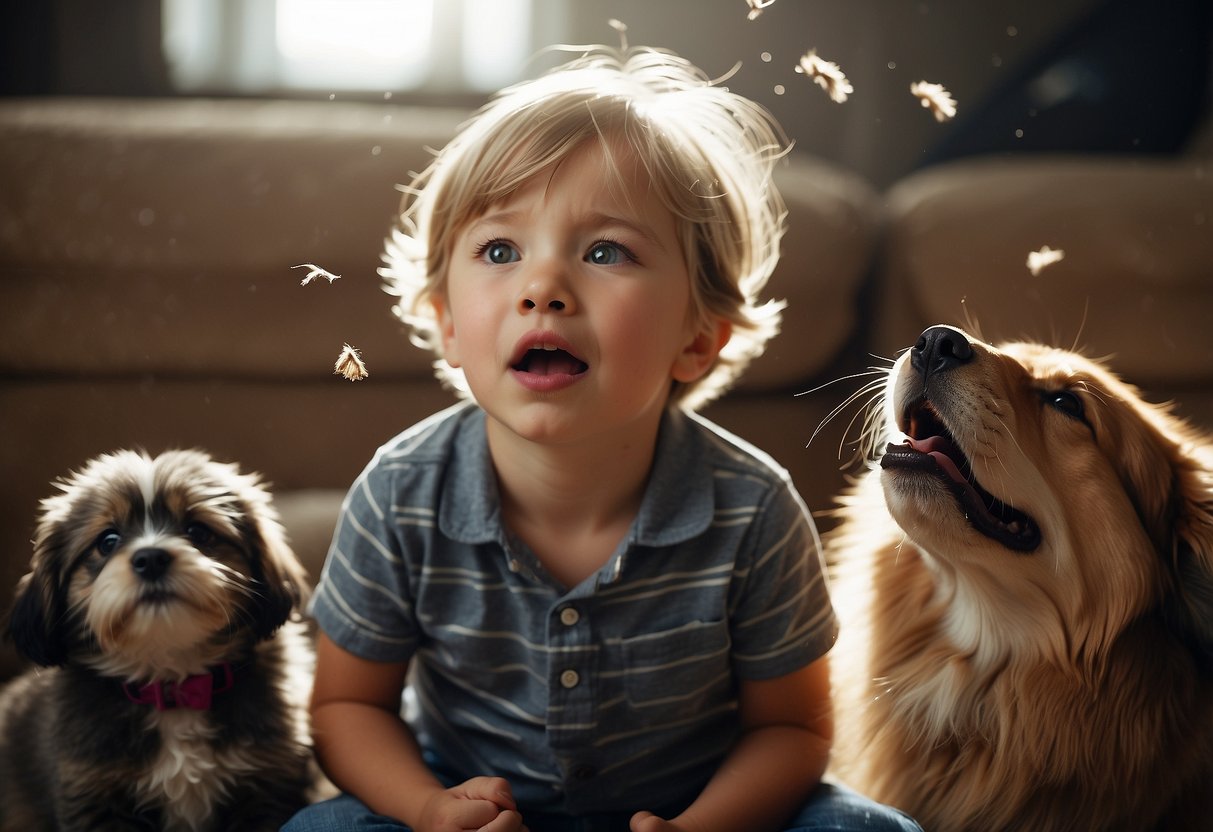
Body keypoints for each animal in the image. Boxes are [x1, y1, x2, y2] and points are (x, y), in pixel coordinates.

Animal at [0, 453, 317, 829]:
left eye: (198, 531)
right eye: (107, 541)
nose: (150, 558)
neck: (174, 686)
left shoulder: (267, 788)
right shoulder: (95, 795)